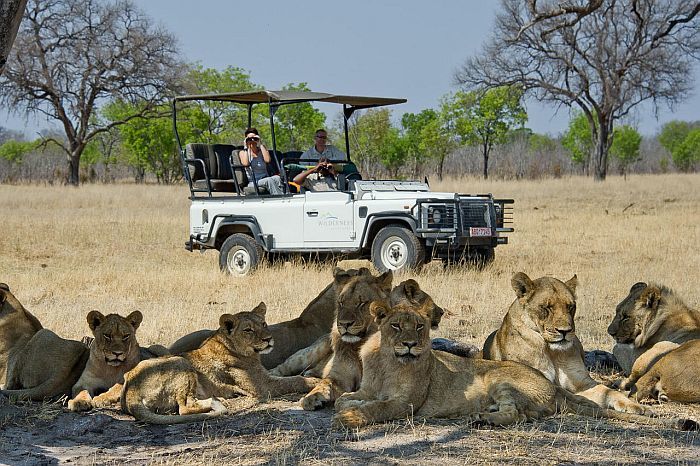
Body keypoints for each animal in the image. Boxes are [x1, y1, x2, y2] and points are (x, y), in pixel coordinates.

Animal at [330, 298, 696, 430]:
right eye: (396, 326)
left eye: (419, 327)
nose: (410, 344)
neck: (386, 360)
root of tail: (552, 386)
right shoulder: (369, 388)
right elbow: (346, 397)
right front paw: (347, 405)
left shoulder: (406, 403)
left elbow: (377, 408)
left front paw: (350, 417)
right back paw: (483, 415)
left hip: (499, 380)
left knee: (519, 415)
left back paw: (483, 419)